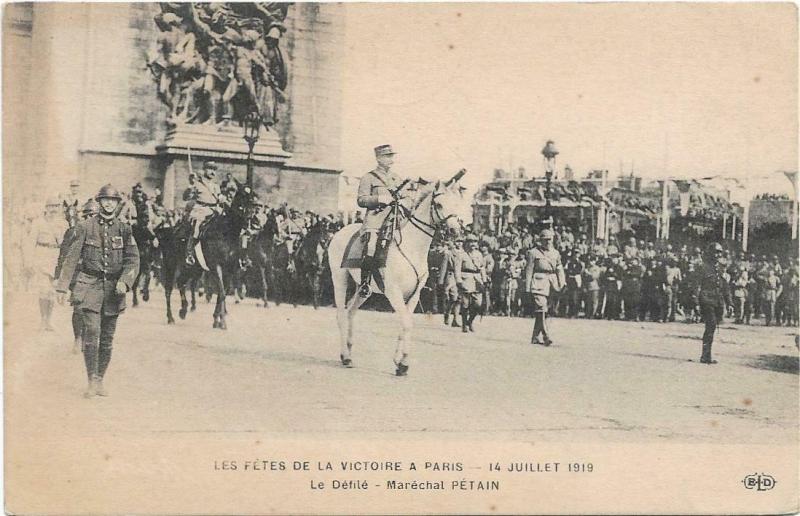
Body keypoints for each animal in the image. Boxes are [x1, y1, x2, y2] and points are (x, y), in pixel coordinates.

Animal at [157, 187, 256, 328]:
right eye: (242, 198)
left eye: (252, 198)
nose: (250, 218)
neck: (225, 233)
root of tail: (169, 230)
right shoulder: (216, 267)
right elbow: (222, 292)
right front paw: (222, 322)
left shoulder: (229, 270)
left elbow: (221, 293)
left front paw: (217, 320)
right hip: (171, 264)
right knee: (169, 289)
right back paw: (171, 317)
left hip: (194, 269)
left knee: (181, 282)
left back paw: (183, 310)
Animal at [324, 171, 462, 376]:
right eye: (439, 204)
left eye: (457, 203)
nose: (455, 231)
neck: (411, 247)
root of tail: (341, 232)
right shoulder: (393, 291)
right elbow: (406, 323)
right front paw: (403, 363)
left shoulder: (413, 295)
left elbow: (405, 324)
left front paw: (398, 362)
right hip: (339, 279)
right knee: (341, 315)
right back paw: (346, 356)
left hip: (363, 289)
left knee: (350, 312)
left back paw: (348, 350)